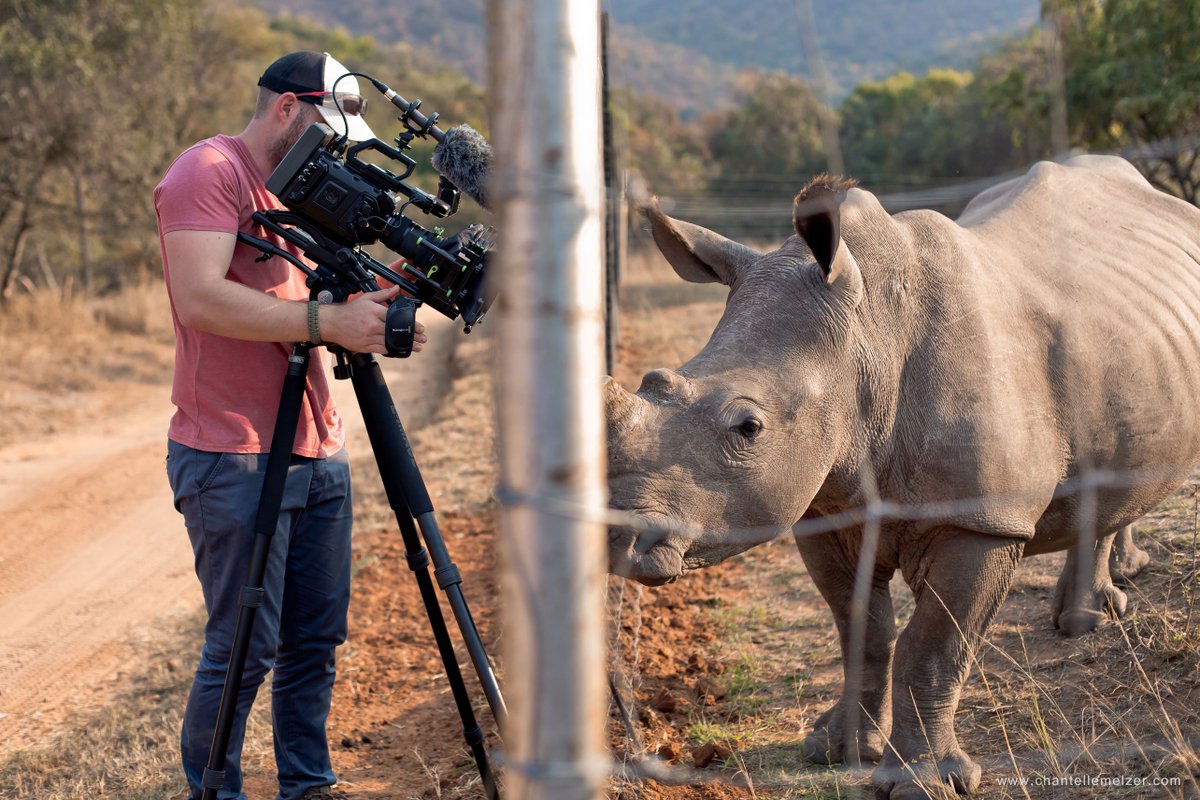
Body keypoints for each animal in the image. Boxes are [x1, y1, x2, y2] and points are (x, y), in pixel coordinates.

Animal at [605, 156, 1200, 799]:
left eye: (748, 427)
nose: (615, 537)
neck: (867, 342)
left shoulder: (980, 520)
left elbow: (933, 647)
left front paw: (925, 783)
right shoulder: (824, 511)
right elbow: (860, 630)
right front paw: (834, 750)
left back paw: (1090, 619)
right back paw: (1087, 614)